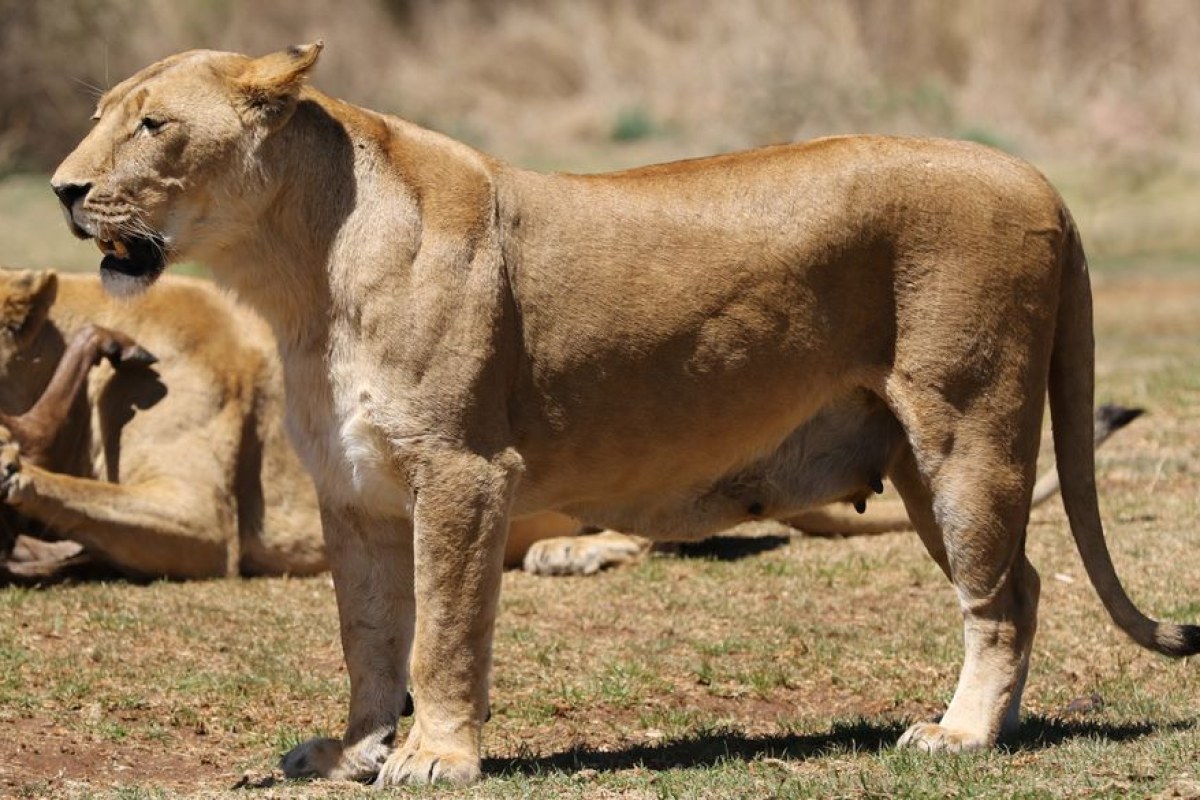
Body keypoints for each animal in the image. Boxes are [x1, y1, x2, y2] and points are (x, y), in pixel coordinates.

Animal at [49, 43, 1198, 787]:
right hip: (921, 458)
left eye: (153, 124)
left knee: (997, 596)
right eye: (101, 111)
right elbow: (369, 636)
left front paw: (435, 756)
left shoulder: (464, 468)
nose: (62, 189)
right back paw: (995, 728)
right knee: (1025, 583)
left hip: (966, 431)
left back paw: (960, 736)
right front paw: (353, 750)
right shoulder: (355, 487)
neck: (296, 270)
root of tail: (1036, 177)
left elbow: (444, 634)